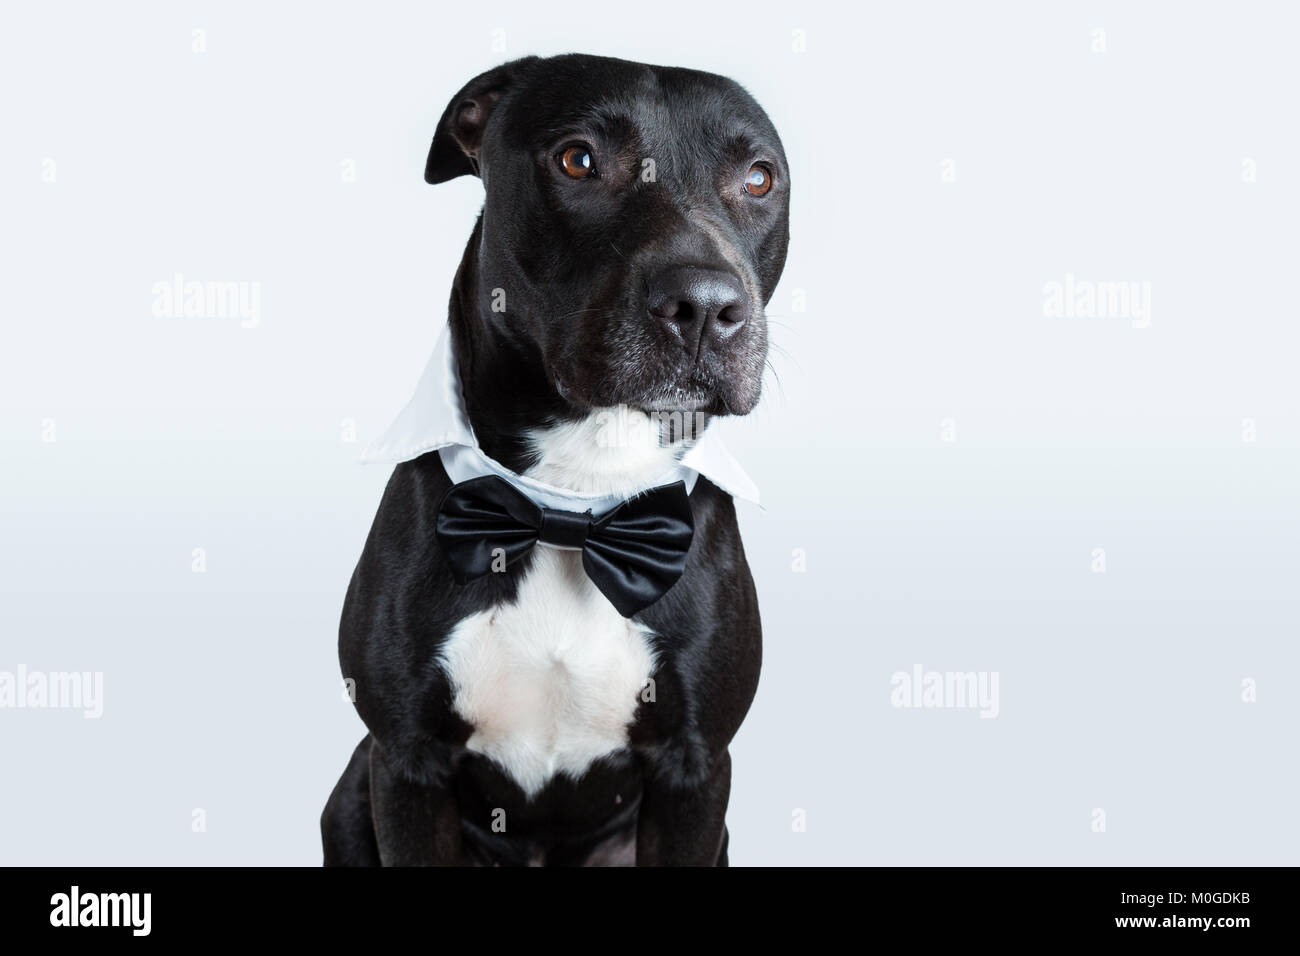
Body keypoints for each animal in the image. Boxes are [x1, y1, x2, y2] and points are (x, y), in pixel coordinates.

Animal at [322, 54, 790, 868]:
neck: (573, 499)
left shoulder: (696, 773)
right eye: (579, 160)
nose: (705, 304)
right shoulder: (405, 762)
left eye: (759, 178)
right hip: (350, 792)